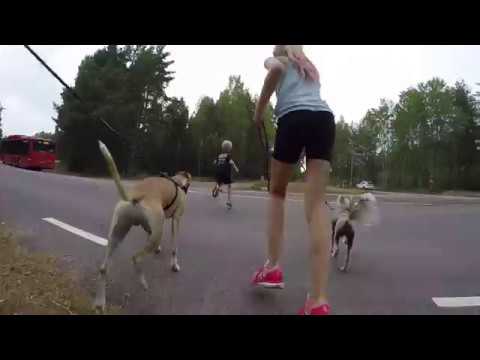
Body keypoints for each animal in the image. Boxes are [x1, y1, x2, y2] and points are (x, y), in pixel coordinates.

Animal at [94, 141, 191, 312]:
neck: (177, 183)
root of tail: (134, 197)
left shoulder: (150, 227)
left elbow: (149, 234)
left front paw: (159, 249)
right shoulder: (176, 220)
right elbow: (174, 247)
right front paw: (174, 265)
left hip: (117, 233)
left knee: (103, 268)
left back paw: (100, 303)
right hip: (153, 232)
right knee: (136, 258)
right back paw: (143, 283)